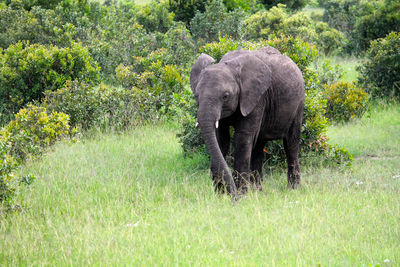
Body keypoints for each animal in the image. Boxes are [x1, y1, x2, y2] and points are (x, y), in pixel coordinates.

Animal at [190, 47, 304, 200]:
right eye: (196, 95)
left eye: (225, 96)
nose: (231, 196)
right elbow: (221, 139)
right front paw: (220, 196)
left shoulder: (257, 98)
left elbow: (242, 138)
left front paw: (241, 196)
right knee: (258, 145)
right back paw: (258, 191)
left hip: (298, 104)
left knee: (291, 144)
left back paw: (293, 189)